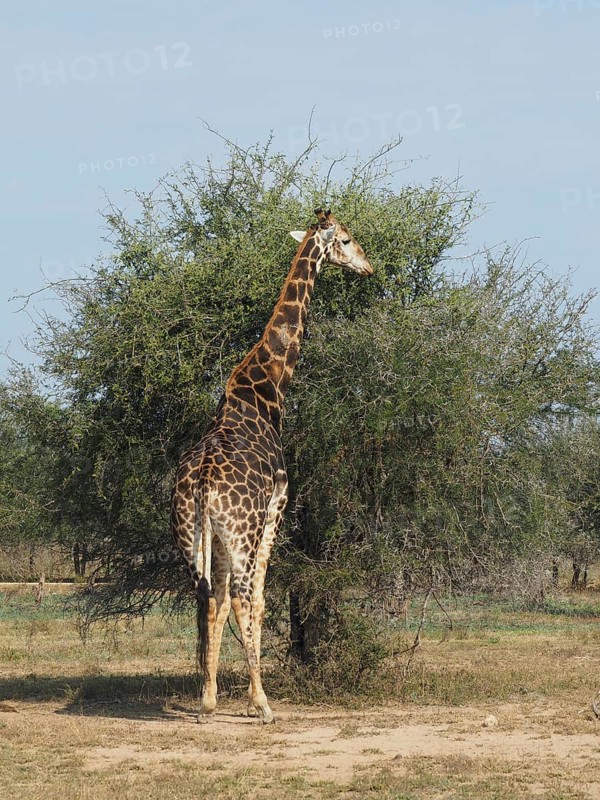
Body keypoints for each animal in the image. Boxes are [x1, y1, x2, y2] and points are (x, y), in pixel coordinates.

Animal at [171, 208, 373, 723]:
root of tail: (202, 483)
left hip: (192, 534)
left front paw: (212, 695)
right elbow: (260, 599)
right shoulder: (277, 506)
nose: (368, 267)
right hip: (240, 531)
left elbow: (219, 603)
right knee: (244, 596)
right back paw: (262, 703)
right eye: (346, 239)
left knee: (207, 598)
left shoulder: (222, 535)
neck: (265, 390)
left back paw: (206, 701)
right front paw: (252, 696)